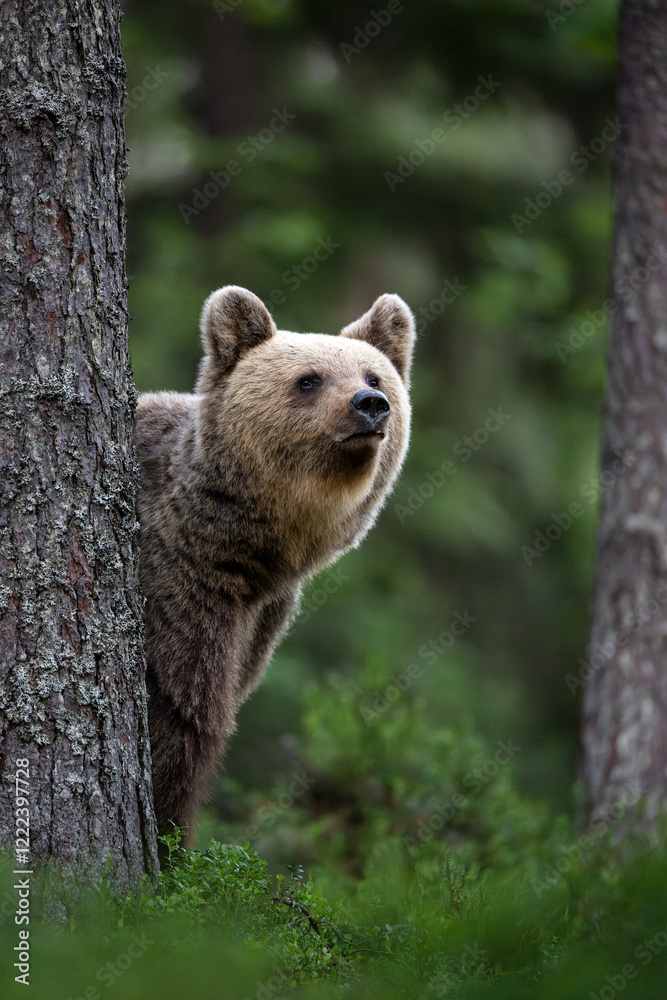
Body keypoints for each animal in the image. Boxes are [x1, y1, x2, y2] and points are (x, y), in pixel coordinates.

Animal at [134, 285, 415, 844]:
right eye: (309, 379)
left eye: (373, 376)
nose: (370, 405)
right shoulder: (179, 587)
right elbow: (184, 711)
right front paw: (172, 832)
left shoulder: (261, 618)